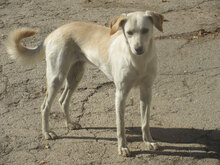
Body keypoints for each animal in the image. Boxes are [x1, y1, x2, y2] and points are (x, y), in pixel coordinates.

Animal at [6, 10, 163, 156]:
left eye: (145, 30)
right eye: (129, 33)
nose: (138, 49)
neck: (138, 61)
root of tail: (54, 32)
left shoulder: (147, 91)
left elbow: (145, 122)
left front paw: (148, 141)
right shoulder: (121, 94)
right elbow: (121, 126)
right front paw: (122, 147)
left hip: (75, 76)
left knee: (63, 100)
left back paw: (69, 124)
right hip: (57, 78)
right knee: (45, 106)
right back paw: (47, 133)